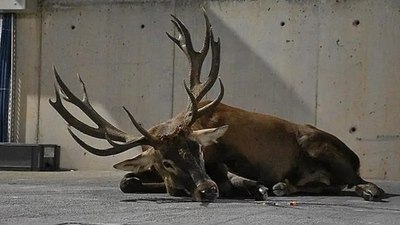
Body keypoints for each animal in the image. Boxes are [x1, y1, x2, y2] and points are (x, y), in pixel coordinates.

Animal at [50, 10, 384, 202]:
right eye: (166, 161)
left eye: (199, 149)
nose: (206, 189)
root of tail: (354, 156)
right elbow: (126, 181)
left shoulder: (231, 160)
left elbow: (232, 178)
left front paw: (248, 186)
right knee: (329, 184)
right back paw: (284, 186)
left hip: (318, 145)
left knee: (361, 182)